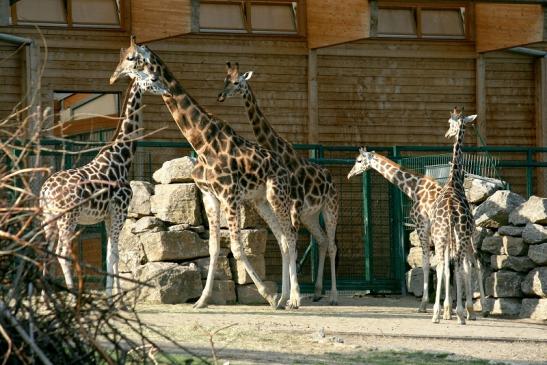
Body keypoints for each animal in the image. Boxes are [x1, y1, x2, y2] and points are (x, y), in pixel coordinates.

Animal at [41, 53, 167, 298]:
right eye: (153, 78)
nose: (167, 90)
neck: (121, 157)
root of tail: (45, 191)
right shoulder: (119, 210)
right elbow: (112, 254)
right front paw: (111, 294)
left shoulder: (108, 216)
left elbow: (114, 252)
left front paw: (117, 293)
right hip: (67, 217)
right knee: (62, 251)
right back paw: (72, 292)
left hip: (48, 217)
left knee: (46, 249)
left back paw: (44, 295)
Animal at [108, 39, 302, 308]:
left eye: (130, 58)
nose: (112, 77)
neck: (201, 143)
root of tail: (285, 166)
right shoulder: (210, 196)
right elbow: (213, 248)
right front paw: (202, 299)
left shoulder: (229, 195)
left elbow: (237, 247)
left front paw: (266, 293)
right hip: (261, 200)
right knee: (283, 239)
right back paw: (284, 298)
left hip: (278, 194)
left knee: (291, 236)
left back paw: (294, 298)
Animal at [217, 63, 338, 304]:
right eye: (225, 80)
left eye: (237, 82)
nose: (221, 96)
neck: (280, 151)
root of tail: (331, 179)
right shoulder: (290, 209)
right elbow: (286, 244)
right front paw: (285, 297)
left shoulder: (294, 206)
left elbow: (291, 245)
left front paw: (292, 298)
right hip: (311, 216)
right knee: (321, 241)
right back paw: (318, 291)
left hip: (330, 209)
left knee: (332, 245)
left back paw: (333, 296)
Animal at [348, 146, 444, 312]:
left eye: (359, 160)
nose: (349, 174)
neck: (414, 188)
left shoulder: (421, 226)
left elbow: (426, 263)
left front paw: (423, 305)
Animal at [430, 108, 486, 324]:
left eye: (450, 123)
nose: (447, 134)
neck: (454, 180)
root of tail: (450, 209)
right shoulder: (464, 234)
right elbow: (461, 267)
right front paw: (462, 309)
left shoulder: (447, 236)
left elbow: (448, 267)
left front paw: (448, 310)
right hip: (459, 235)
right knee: (461, 265)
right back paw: (461, 313)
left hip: (442, 235)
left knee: (444, 265)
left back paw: (438, 313)